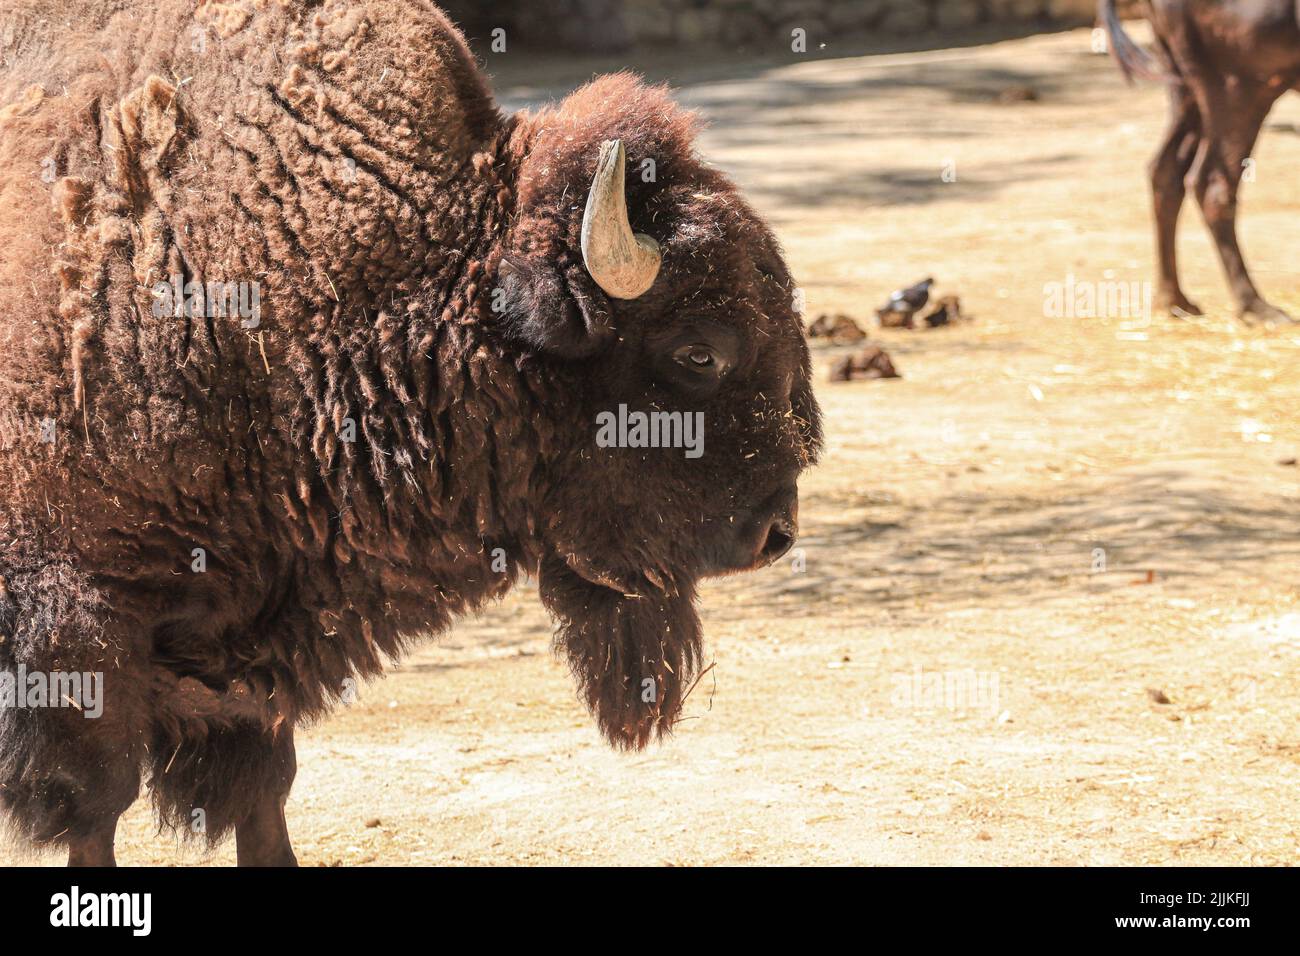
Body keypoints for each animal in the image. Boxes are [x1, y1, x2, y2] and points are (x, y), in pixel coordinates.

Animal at [0, 0, 821, 868]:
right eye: (699, 351)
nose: (775, 532)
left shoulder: (249, 653)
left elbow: (263, 790)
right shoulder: (78, 624)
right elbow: (98, 801)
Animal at [1102, 0, 1300, 325]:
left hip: (1185, 88)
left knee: (1165, 170)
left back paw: (1174, 299)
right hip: (1241, 88)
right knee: (1212, 183)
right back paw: (1256, 306)